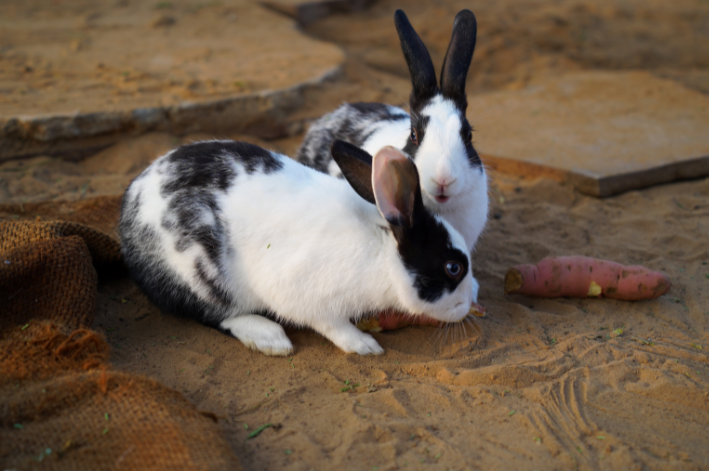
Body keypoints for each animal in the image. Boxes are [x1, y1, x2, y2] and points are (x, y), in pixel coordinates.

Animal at [120, 138, 476, 356]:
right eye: (453, 267)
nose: (471, 301)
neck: (383, 249)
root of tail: (128, 214)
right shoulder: (308, 297)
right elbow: (331, 325)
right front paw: (364, 345)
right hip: (201, 278)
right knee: (212, 316)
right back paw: (269, 338)